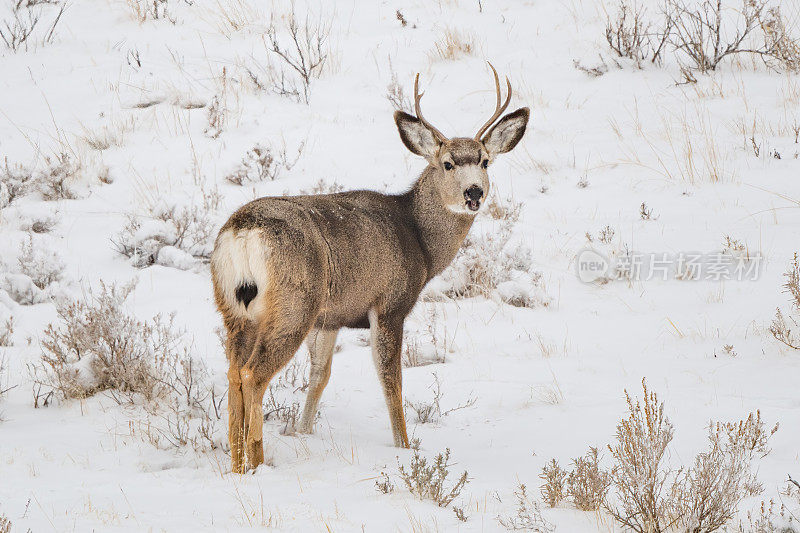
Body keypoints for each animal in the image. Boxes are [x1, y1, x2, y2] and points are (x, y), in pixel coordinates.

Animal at [211, 63, 532, 470]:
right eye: (447, 164)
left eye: (485, 161)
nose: (474, 192)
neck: (419, 240)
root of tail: (243, 232)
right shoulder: (390, 304)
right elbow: (391, 381)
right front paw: (404, 447)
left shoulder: (330, 317)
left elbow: (320, 375)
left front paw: (303, 431)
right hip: (293, 305)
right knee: (253, 374)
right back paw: (256, 462)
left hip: (234, 307)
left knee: (233, 372)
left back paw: (236, 462)